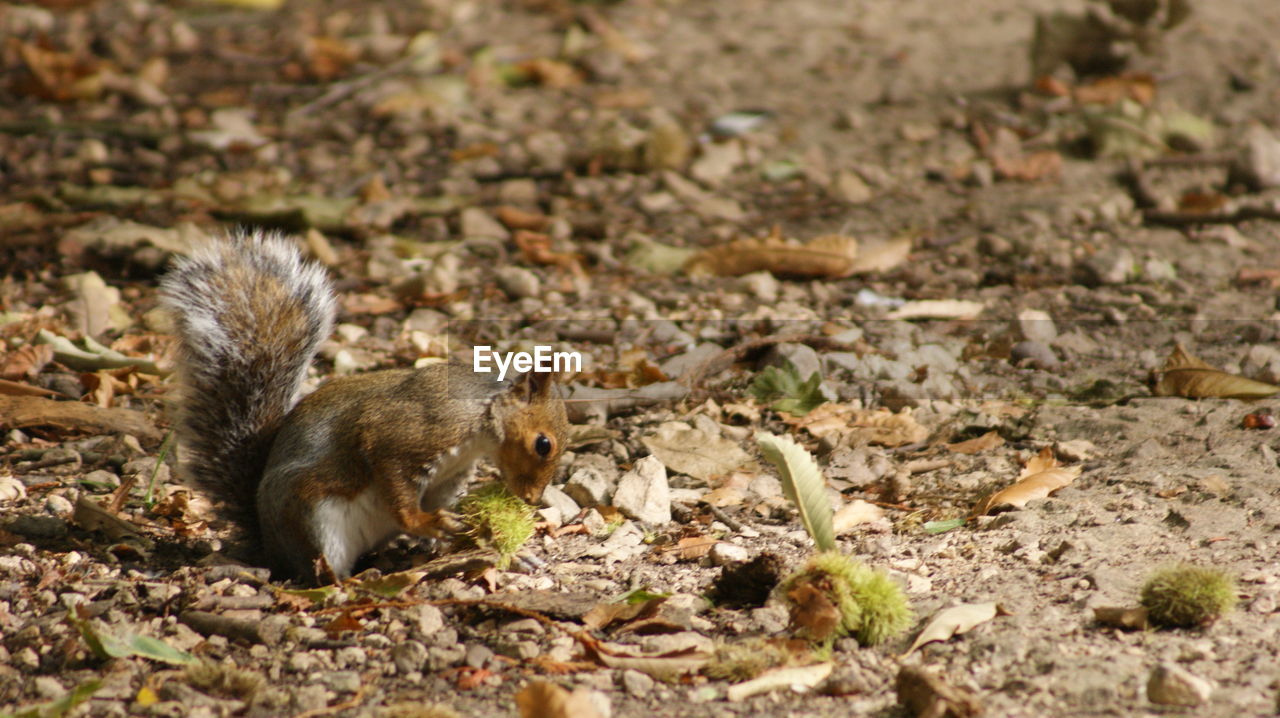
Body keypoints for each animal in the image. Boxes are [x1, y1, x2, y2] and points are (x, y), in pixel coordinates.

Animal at [157, 229, 568, 583]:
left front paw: (492, 543)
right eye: (543, 444)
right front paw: (428, 524)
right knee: (320, 572)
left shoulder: (447, 477)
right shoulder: (408, 435)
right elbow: (398, 490)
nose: (532, 500)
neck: (481, 416)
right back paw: (353, 581)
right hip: (313, 516)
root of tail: (270, 545)